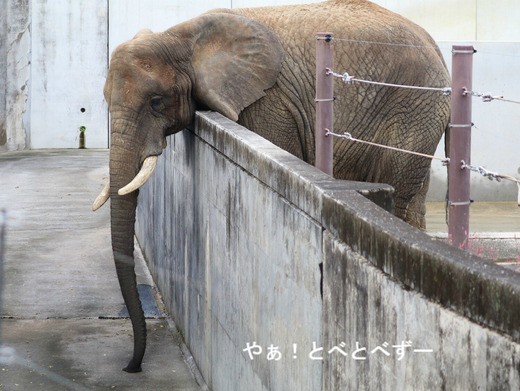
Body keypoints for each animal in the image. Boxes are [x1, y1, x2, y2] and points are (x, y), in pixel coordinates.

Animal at [92, 0, 450, 374]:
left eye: (156, 102)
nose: (132, 367)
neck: (181, 37)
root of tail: (435, 46)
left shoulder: (269, 103)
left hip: (414, 109)